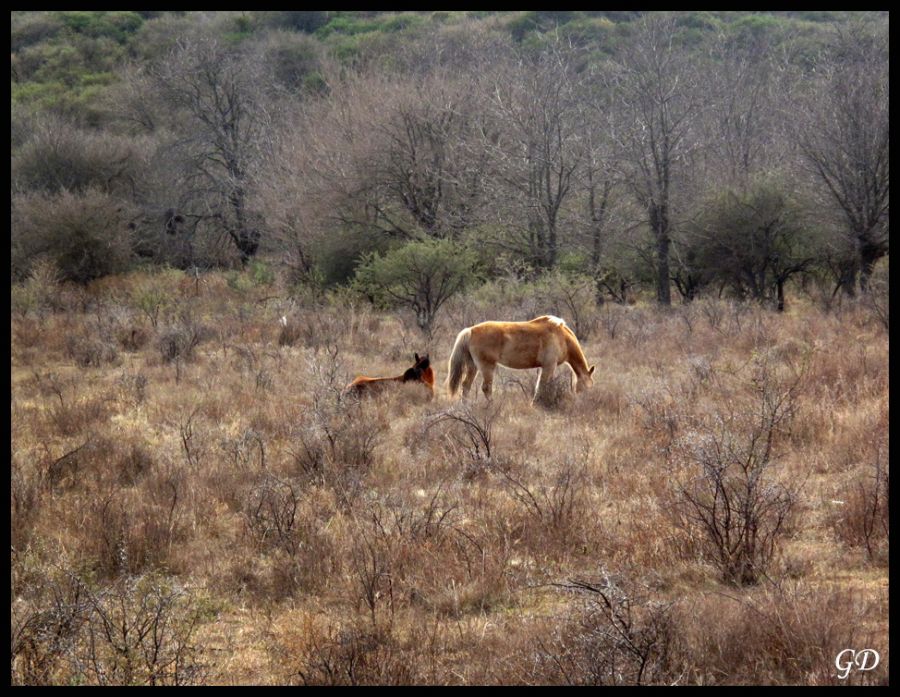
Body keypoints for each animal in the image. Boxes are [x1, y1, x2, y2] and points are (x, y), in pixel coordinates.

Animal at [446, 316, 596, 402]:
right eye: (587, 386)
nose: (586, 402)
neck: (561, 337)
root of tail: (470, 330)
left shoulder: (545, 368)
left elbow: (544, 386)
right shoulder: (549, 366)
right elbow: (541, 387)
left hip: (473, 366)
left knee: (466, 386)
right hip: (487, 367)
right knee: (486, 388)